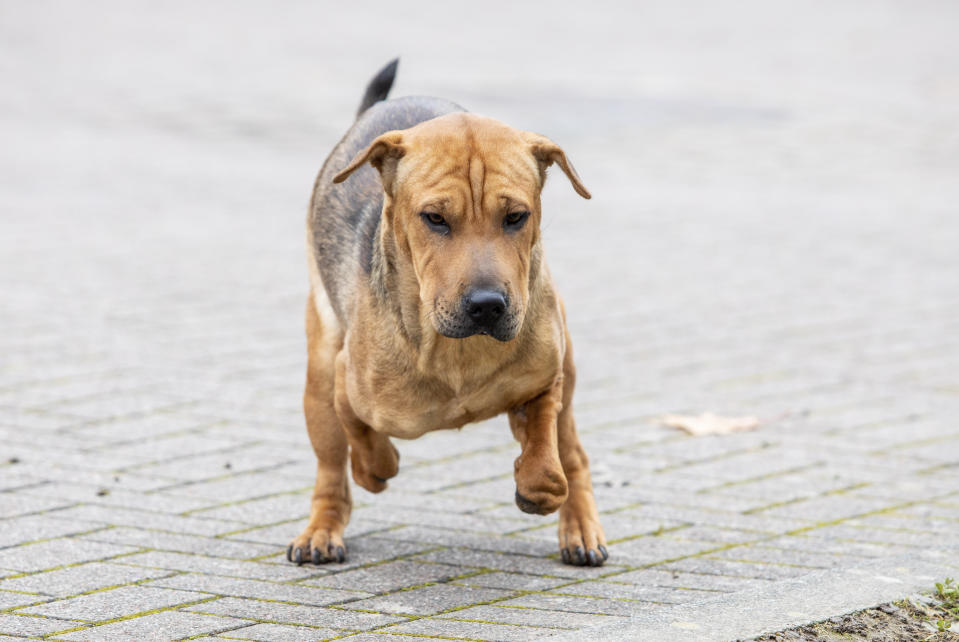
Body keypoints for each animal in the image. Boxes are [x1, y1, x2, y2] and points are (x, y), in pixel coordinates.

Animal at [288, 58, 612, 564]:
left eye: (516, 217)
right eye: (435, 219)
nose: (487, 305)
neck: (456, 351)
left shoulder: (546, 374)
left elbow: (547, 456)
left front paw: (535, 487)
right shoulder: (347, 379)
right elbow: (361, 436)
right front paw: (377, 467)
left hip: (570, 368)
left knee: (573, 455)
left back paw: (580, 529)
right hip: (319, 368)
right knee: (331, 469)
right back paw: (321, 531)